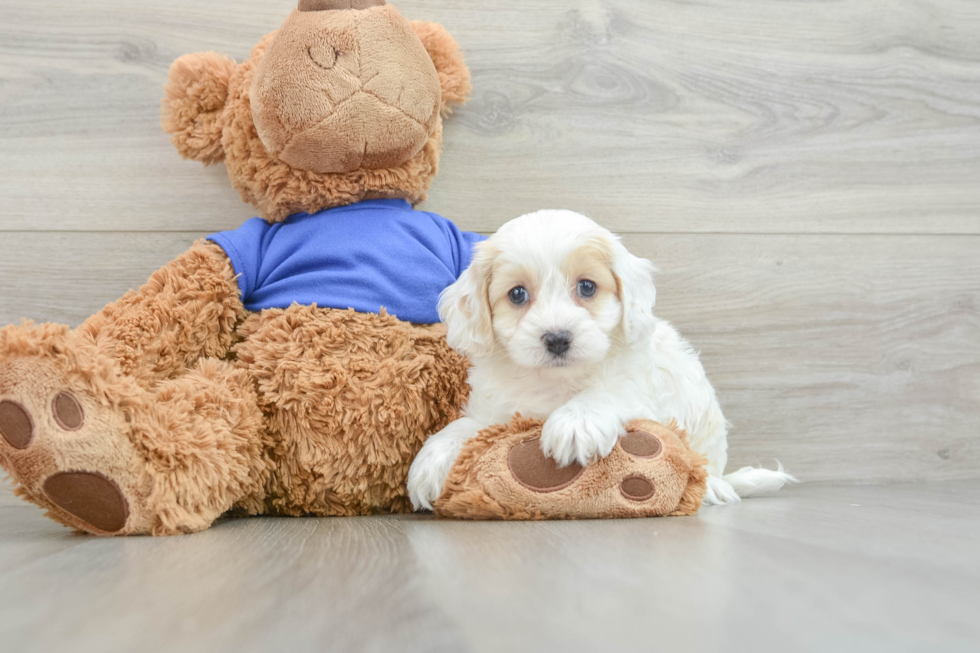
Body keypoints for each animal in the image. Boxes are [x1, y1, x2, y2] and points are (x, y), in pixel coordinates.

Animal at [408, 209, 796, 510]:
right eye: (517, 294)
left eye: (587, 287)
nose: (557, 338)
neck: (556, 381)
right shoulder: (497, 409)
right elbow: (468, 425)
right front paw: (431, 460)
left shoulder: (638, 393)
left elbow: (606, 394)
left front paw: (575, 423)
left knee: (709, 465)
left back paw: (715, 486)